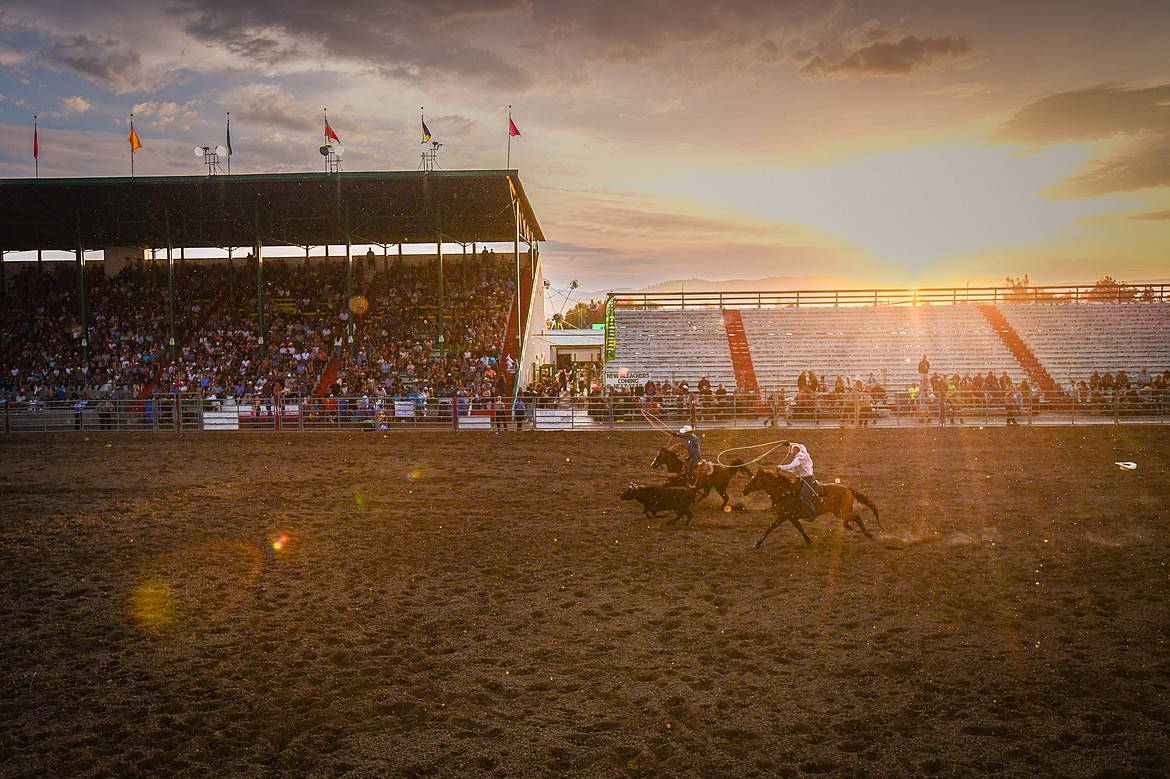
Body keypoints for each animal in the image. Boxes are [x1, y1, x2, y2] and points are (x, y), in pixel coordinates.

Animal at [744, 467, 879, 545]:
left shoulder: (783, 515)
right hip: (842, 512)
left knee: (857, 518)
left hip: (841, 512)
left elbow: (770, 527)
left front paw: (757, 543)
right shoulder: (791, 517)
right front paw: (808, 541)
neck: (784, 491)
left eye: (754, 479)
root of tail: (848, 489)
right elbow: (800, 528)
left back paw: (868, 534)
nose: (744, 491)